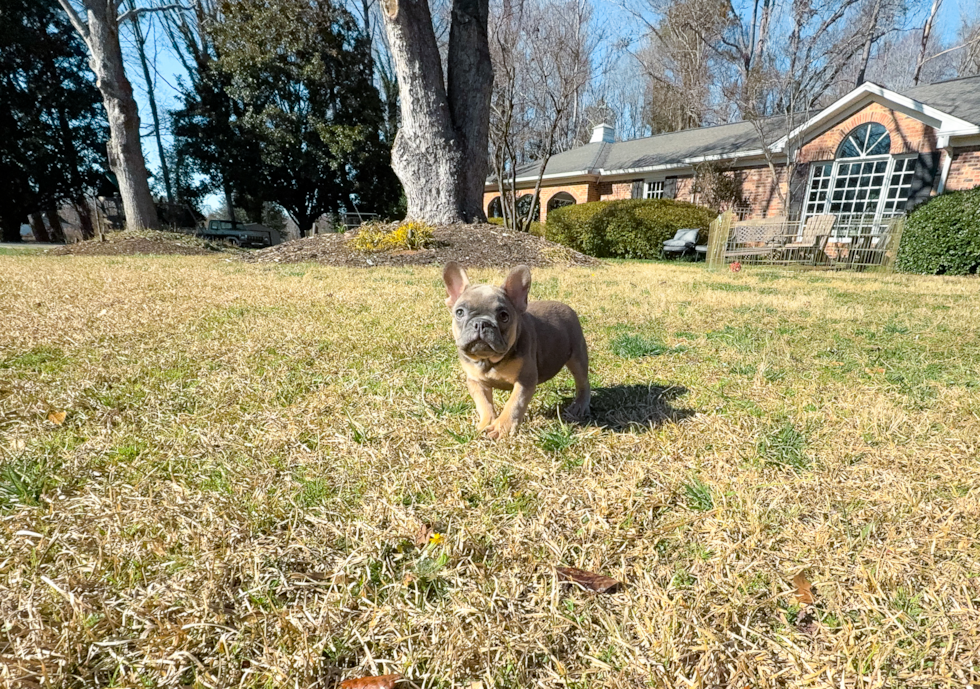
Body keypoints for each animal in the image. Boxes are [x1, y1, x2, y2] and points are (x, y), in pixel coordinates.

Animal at [444, 260, 588, 438]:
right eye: (459, 312)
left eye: (504, 316)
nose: (481, 323)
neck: (489, 360)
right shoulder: (475, 381)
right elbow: (483, 403)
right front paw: (486, 422)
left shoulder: (525, 379)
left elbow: (514, 403)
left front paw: (502, 427)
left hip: (577, 356)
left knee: (582, 382)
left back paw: (580, 405)